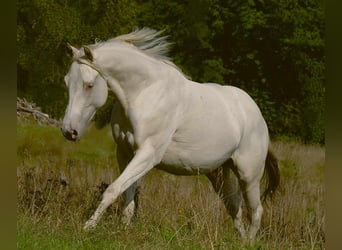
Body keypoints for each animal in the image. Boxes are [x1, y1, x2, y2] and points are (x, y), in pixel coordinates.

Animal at [61, 27, 280, 242]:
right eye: (66, 82)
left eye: (88, 84)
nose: (68, 131)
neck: (145, 92)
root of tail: (257, 115)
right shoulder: (124, 153)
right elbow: (127, 197)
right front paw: (123, 230)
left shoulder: (148, 155)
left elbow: (112, 190)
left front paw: (87, 227)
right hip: (219, 172)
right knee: (234, 206)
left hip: (248, 175)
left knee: (256, 211)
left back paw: (248, 242)